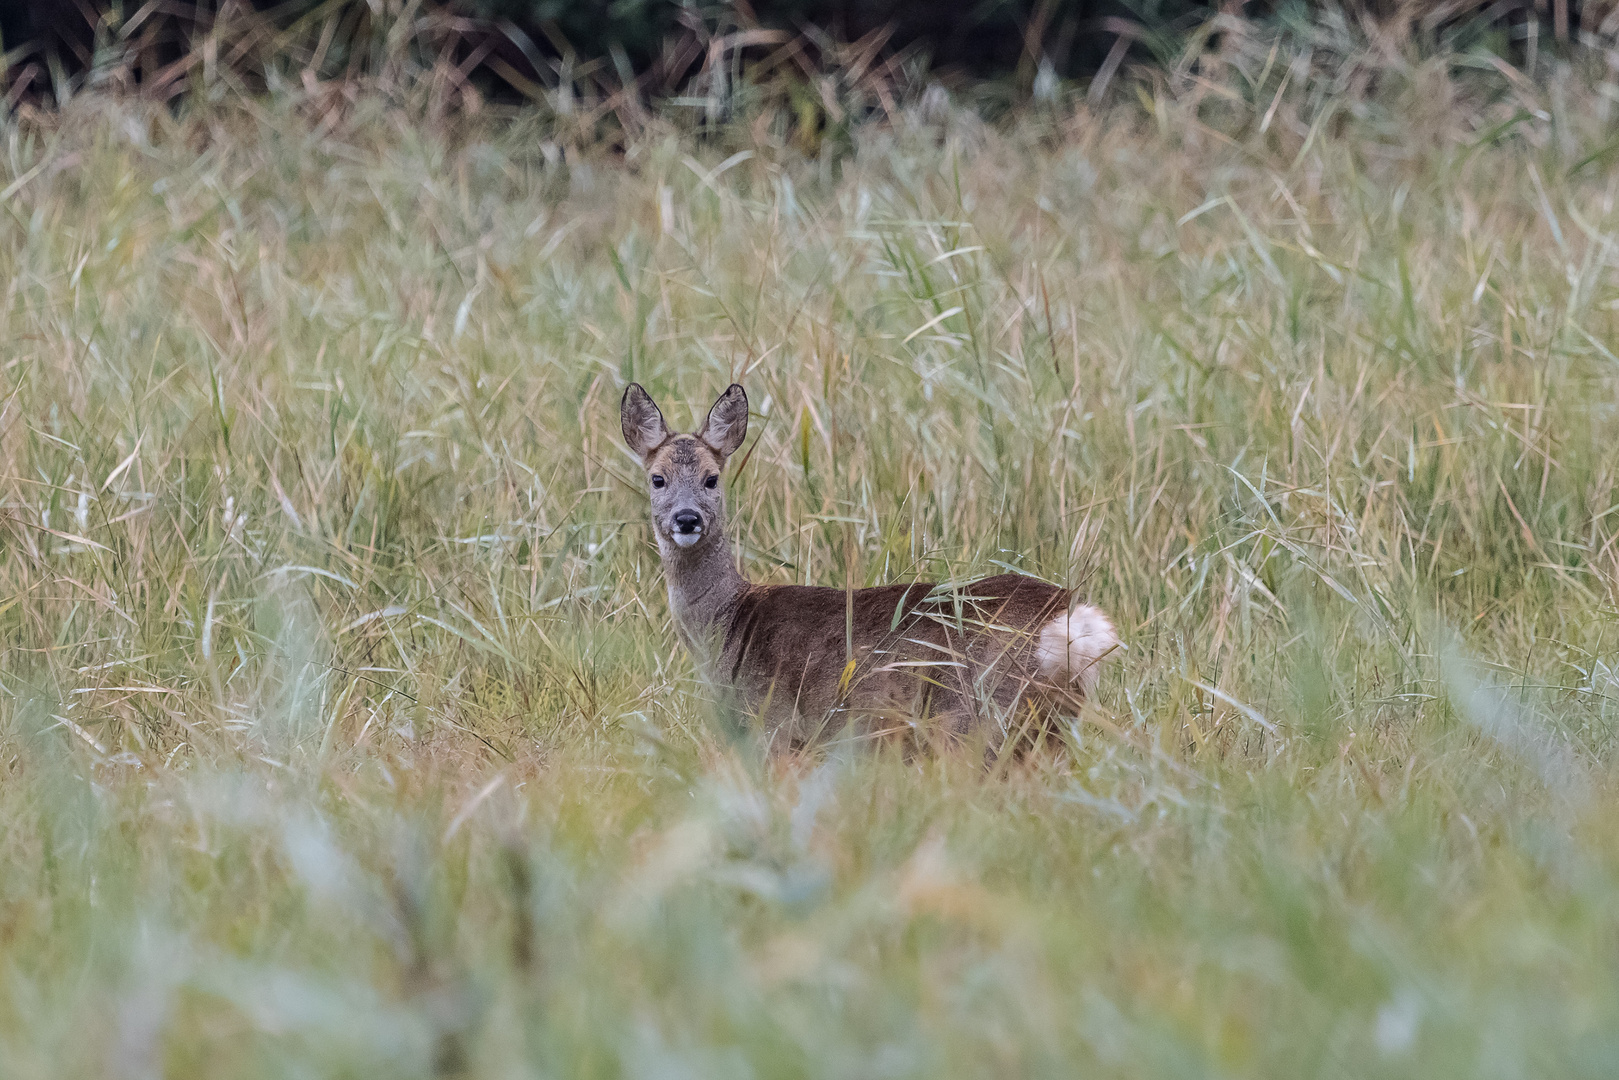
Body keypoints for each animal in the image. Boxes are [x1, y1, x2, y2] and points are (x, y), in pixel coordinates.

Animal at [621, 386, 1126, 751]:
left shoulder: (774, 726)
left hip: (980, 719)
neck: (729, 624)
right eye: (657, 478)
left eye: (712, 478)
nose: (688, 519)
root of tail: (1071, 620)